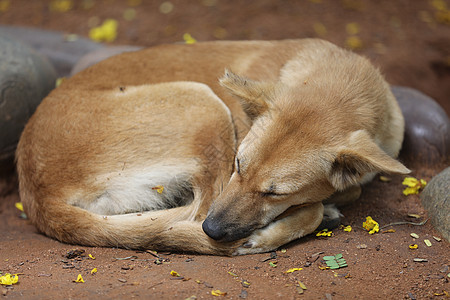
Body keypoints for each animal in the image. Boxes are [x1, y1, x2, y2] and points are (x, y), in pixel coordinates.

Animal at [15, 38, 410, 255]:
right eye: (239, 164)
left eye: (275, 193)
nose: (214, 233)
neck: (345, 85)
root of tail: (36, 194)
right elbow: (333, 198)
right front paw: (319, 208)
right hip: (203, 105)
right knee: (197, 211)